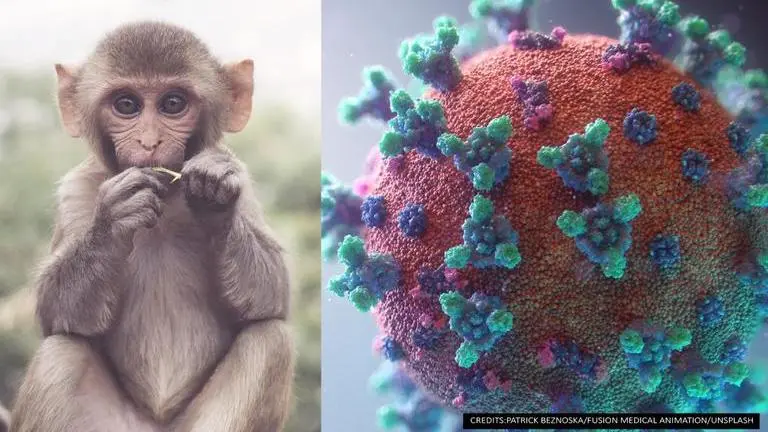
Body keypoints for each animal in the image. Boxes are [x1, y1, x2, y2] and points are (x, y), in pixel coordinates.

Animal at [9, 21, 294, 432]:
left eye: (173, 104)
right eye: (126, 105)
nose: (149, 142)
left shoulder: (243, 181)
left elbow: (272, 295)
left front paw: (214, 198)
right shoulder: (76, 191)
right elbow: (56, 312)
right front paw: (114, 220)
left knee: (269, 339)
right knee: (61, 352)